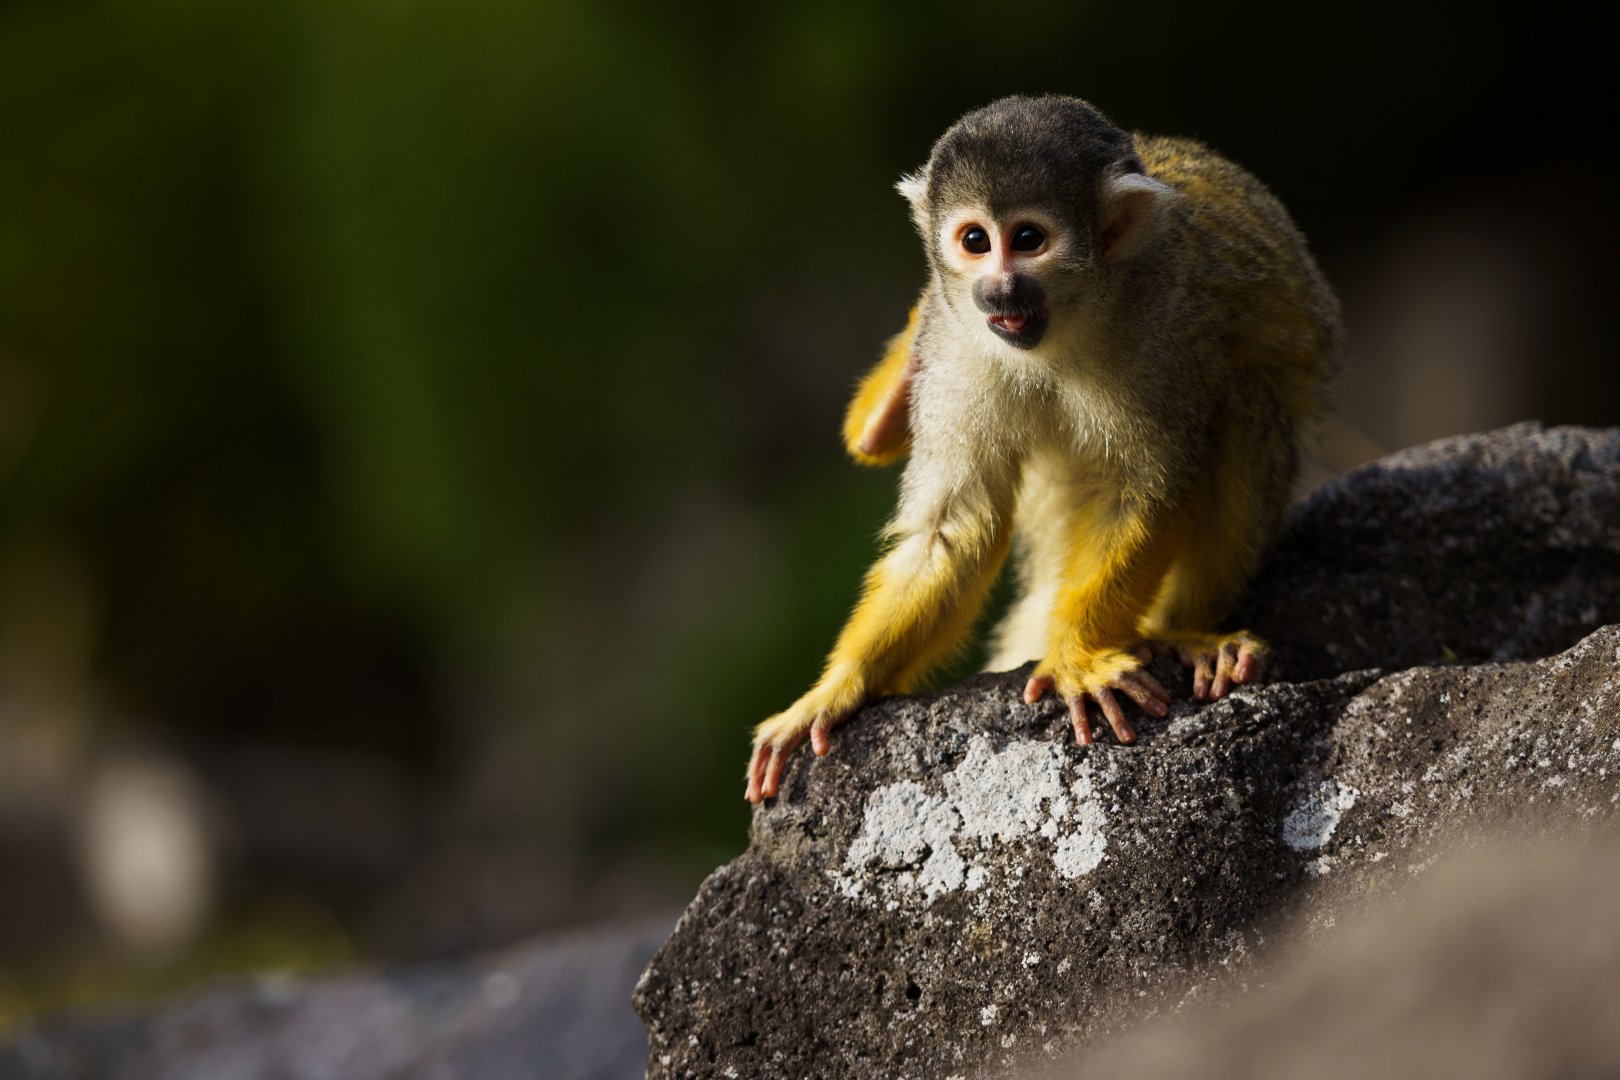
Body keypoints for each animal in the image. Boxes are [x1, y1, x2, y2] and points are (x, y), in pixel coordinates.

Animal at [746, 95, 1342, 804]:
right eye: (975, 241)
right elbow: (955, 526)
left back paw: (1182, 634)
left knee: (1247, 395)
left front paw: (1077, 655)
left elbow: (1149, 485)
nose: (999, 289)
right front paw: (839, 690)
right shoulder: (957, 338)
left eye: (1028, 240)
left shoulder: (1161, 326)